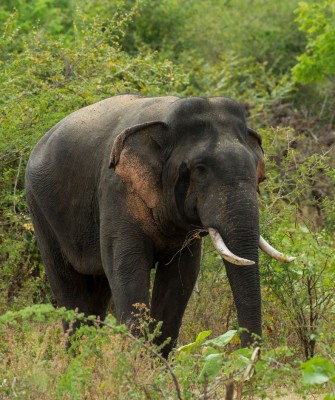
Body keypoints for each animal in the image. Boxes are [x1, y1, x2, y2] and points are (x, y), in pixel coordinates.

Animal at [25, 95, 296, 358]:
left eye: (257, 170)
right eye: (200, 169)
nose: (248, 359)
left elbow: (182, 274)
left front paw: (156, 363)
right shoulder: (117, 192)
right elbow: (126, 267)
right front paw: (138, 364)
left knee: (97, 293)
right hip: (40, 209)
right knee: (70, 289)